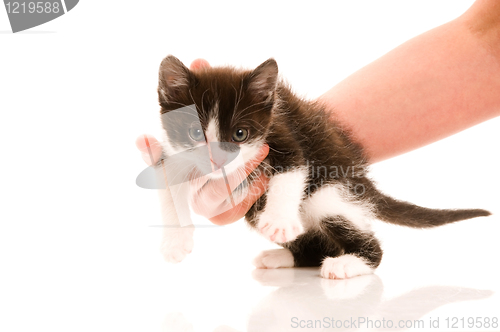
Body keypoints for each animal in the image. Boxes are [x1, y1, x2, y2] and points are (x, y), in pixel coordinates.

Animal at [155, 55, 488, 278]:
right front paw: (175, 241)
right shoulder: (174, 155)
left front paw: (279, 221)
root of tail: (362, 180)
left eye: (240, 134)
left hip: (330, 191)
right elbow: (169, 188)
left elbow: (292, 170)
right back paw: (284, 258)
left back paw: (348, 263)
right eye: (195, 132)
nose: (217, 160)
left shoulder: (284, 135)